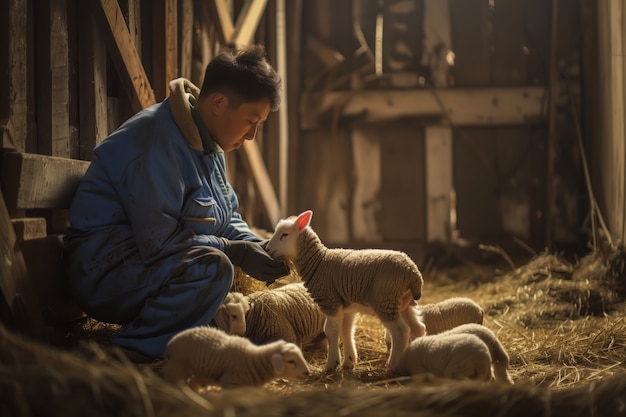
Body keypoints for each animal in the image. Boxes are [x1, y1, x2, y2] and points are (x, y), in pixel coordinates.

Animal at [160, 324, 308, 388]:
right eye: (291, 361)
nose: (307, 373)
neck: (252, 360)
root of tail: (171, 343)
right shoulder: (231, 383)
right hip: (177, 365)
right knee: (169, 376)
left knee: (191, 381)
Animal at [264, 210, 424, 372]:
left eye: (284, 235)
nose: (268, 249)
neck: (319, 262)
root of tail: (413, 272)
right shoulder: (348, 307)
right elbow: (345, 331)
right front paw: (348, 361)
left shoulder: (329, 300)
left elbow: (330, 331)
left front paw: (331, 364)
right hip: (404, 301)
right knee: (417, 328)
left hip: (385, 298)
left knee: (400, 332)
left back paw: (392, 367)